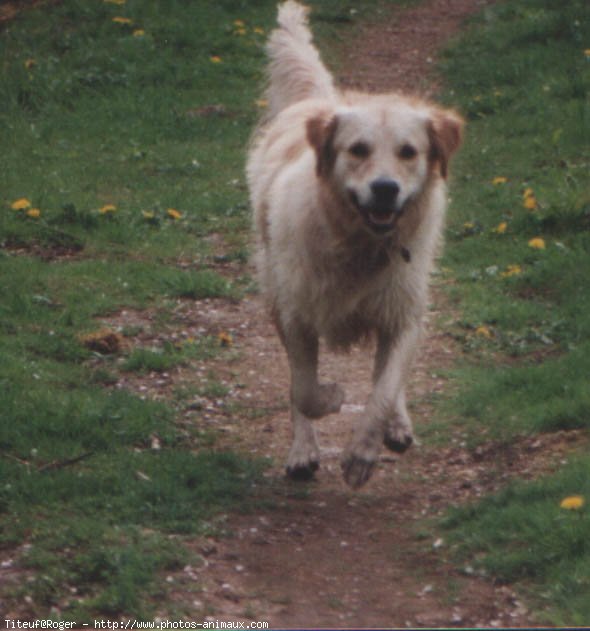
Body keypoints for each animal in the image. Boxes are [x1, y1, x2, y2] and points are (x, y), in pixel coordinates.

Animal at [247, 1, 464, 488]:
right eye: (358, 149)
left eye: (408, 152)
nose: (385, 189)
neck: (361, 244)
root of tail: (317, 100)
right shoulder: (296, 314)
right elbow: (305, 391)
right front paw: (331, 398)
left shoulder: (403, 313)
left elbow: (384, 389)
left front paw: (364, 451)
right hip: (273, 289)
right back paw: (303, 451)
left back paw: (396, 427)